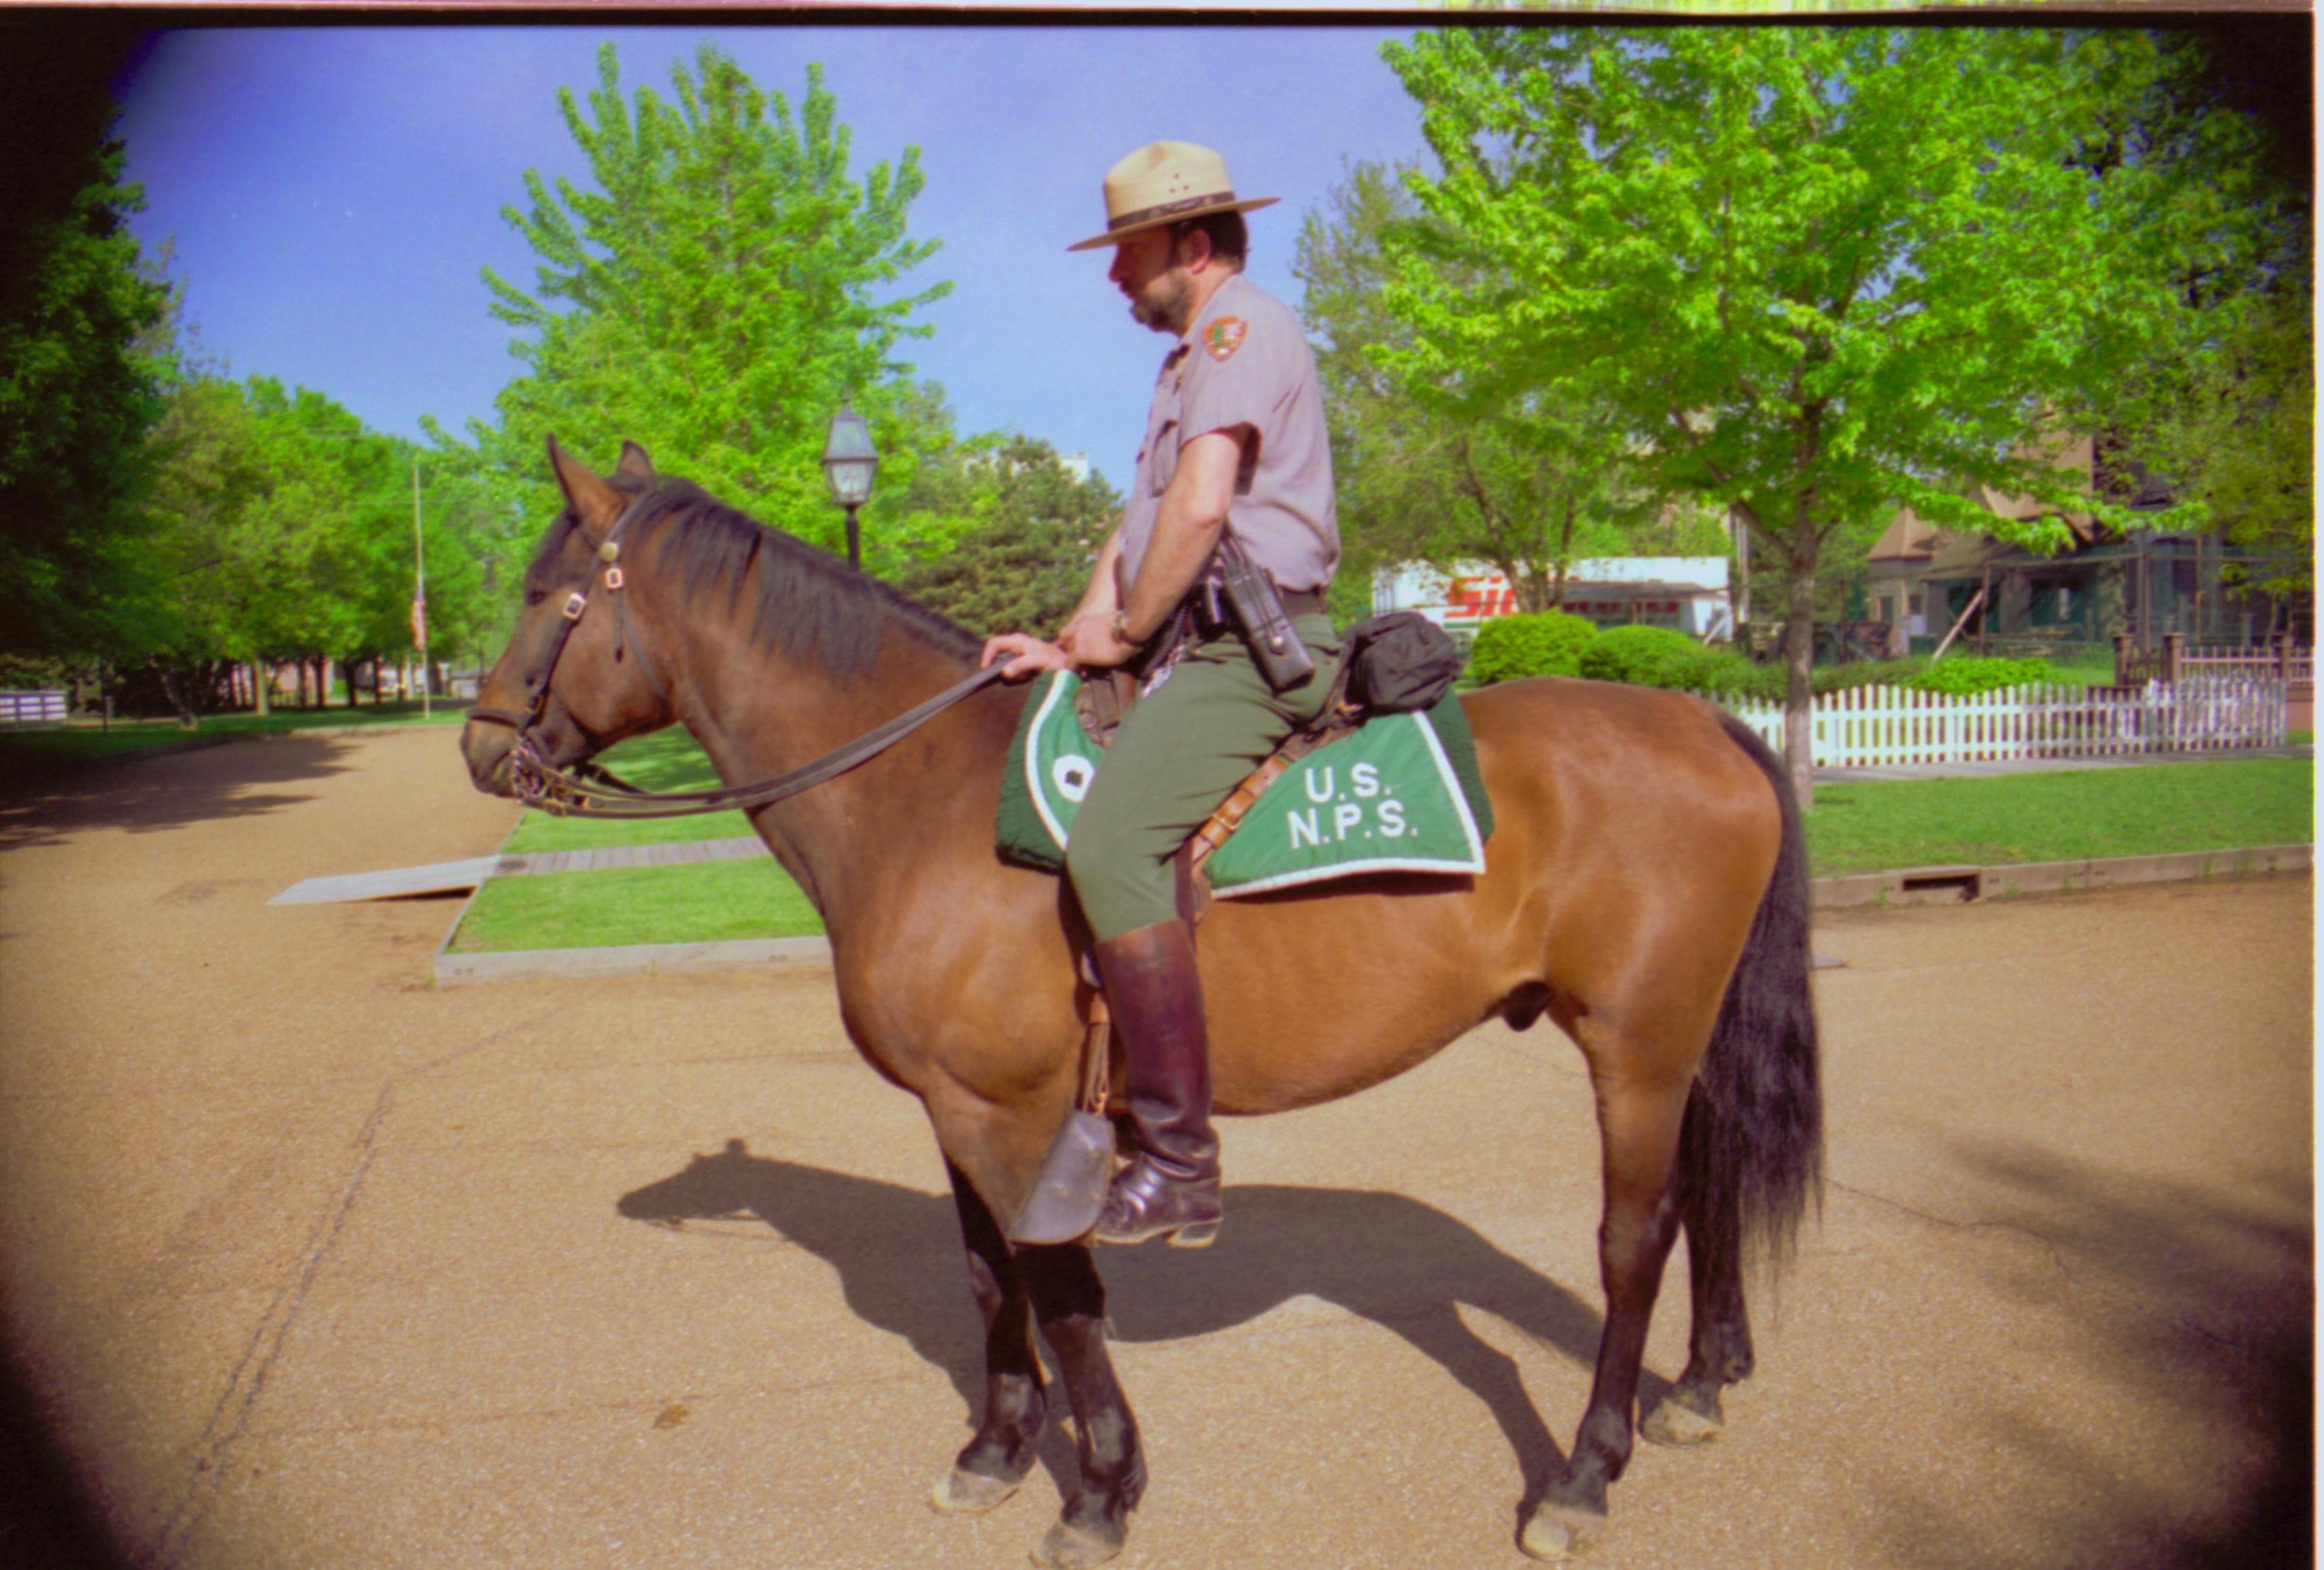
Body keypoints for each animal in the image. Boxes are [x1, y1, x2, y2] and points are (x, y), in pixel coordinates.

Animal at [462, 434, 1822, 1560]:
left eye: (544, 595)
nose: (479, 743)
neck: (922, 791)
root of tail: (1706, 720)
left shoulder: (1015, 1116)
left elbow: (1060, 1291)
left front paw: (1103, 1488)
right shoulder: (958, 1109)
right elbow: (987, 1275)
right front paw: (996, 1449)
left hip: (1636, 1048)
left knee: (1634, 1236)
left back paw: (1586, 1472)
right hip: (1681, 1041)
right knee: (1709, 1184)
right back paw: (1704, 1379)